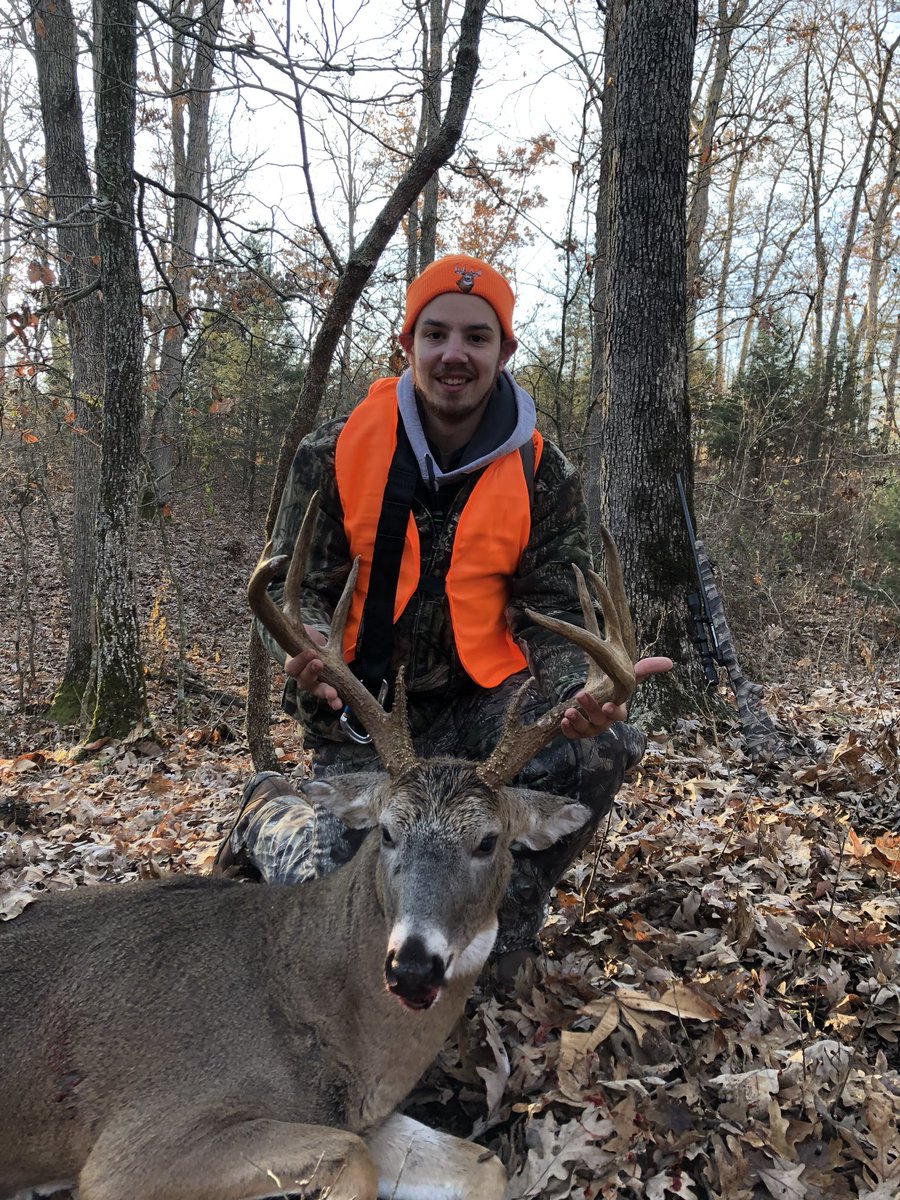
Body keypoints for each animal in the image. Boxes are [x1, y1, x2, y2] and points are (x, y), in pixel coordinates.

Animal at [0, 493, 636, 1200]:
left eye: (489, 841)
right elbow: (351, 1159)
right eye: (387, 830)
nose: (412, 966)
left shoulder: (365, 1116)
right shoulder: (135, 1142)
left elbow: (486, 1164)